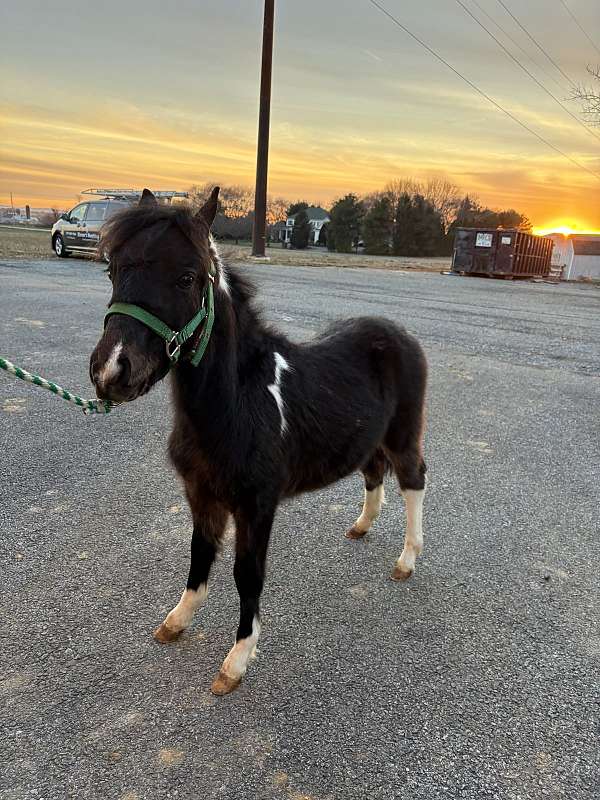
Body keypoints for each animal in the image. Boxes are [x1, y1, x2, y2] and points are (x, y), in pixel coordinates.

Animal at [90, 187, 428, 696]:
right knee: (373, 471)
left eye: (187, 278)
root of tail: (399, 332)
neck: (238, 403)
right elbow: (200, 555)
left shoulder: (257, 504)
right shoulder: (202, 494)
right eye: (112, 270)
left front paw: (236, 661)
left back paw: (407, 560)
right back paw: (361, 526)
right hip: (367, 438)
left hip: (404, 434)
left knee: (412, 479)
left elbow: (247, 575)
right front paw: (177, 621)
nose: (112, 370)